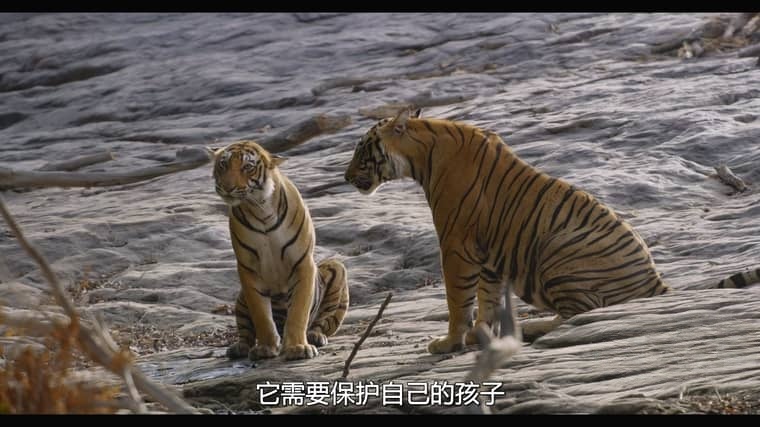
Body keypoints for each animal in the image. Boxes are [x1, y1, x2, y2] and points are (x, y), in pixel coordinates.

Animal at [208, 140, 349, 361]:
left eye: (247, 167)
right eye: (223, 165)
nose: (228, 188)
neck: (260, 210)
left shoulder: (303, 263)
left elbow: (298, 311)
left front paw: (298, 347)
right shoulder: (248, 270)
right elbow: (261, 315)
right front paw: (266, 347)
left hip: (336, 269)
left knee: (323, 322)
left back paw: (315, 336)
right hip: (240, 297)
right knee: (245, 330)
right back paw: (239, 347)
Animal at [344, 107, 760, 355]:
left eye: (362, 150)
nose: (345, 178)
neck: (423, 150)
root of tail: (655, 281)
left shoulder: (456, 246)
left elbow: (458, 301)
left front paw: (448, 342)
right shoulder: (487, 255)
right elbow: (486, 300)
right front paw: (481, 334)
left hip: (556, 250)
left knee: (583, 313)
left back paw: (532, 327)